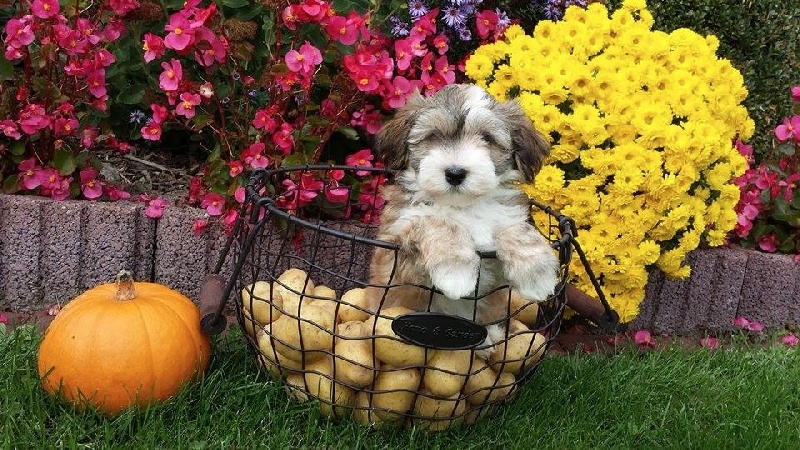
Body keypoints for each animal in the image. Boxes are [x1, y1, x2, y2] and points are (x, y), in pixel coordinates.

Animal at [365, 84, 560, 355]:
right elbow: (436, 221)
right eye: (433, 136)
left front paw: (537, 275)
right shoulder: (399, 251)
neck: (463, 206)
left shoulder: (501, 241)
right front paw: (455, 272)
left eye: (487, 138)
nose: (455, 173)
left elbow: (516, 229)